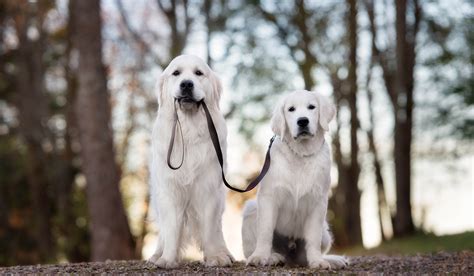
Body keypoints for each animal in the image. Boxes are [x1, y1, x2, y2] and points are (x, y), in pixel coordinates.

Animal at [148, 55, 233, 268]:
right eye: (176, 73)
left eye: (198, 73)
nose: (186, 84)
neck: (189, 130)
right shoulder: (169, 190)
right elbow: (171, 229)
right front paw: (167, 259)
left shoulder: (209, 189)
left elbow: (209, 229)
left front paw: (215, 257)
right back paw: (157, 255)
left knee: (218, 230)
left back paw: (225, 253)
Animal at [243, 90, 346, 270]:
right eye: (291, 109)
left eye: (312, 107)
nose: (302, 121)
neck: (301, 154)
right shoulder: (268, 198)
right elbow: (265, 231)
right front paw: (260, 256)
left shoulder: (318, 203)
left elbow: (313, 238)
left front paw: (317, 261)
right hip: (251, 209)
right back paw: (273, 257)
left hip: (325, 230)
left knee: (304, 257)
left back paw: (333, 260)